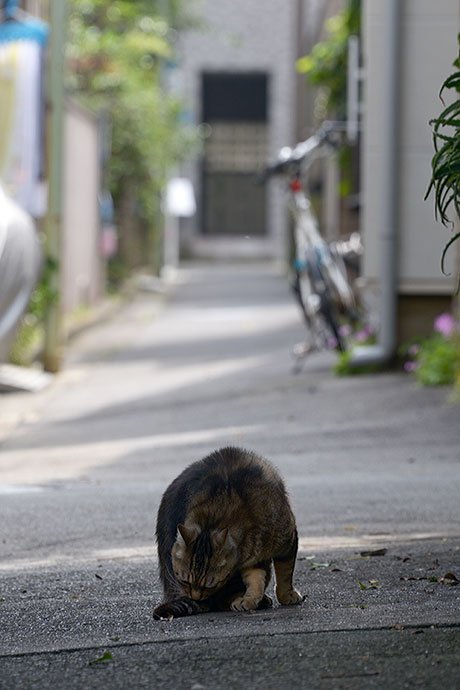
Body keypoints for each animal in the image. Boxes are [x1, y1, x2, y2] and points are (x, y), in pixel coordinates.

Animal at [152, 446, 302, 620]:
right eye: (185, 581)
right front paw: (249, 599)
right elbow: (256, 580)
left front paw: (286, 595)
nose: (195, 597)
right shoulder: (255, 559)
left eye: (209, 586)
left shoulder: (286, 542)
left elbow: (285, 574)